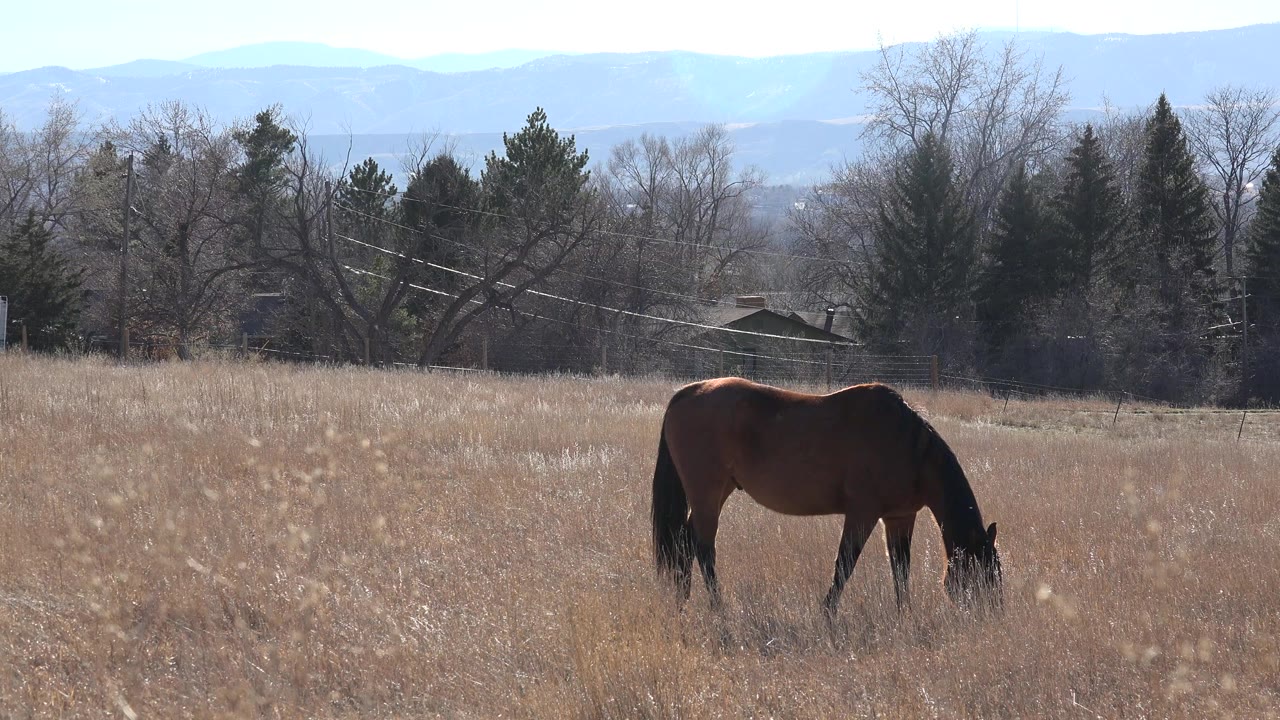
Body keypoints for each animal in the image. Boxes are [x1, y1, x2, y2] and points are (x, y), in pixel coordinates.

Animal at [651, 377, 1002, 615]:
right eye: (986, 573)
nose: (991, 615)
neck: (909, 446)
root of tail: (687, 393)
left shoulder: (899, 518)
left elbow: (901, 570)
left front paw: (905, 615)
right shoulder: (862, 514)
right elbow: (845, 564)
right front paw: (828, 613)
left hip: (718, 491)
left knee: (685, 541)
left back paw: (682, 600)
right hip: (707, 493)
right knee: (703, 547)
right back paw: (718, 607)